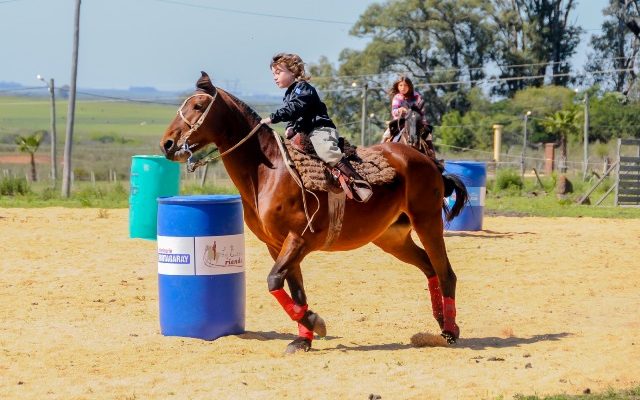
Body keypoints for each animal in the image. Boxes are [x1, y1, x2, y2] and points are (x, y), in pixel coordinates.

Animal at [159, 72, 470, 354]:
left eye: (198, 106)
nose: (167, 144)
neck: (269, 172)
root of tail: (428, 162)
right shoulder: (277, 245)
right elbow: (294, 289)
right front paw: (303, 339)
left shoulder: (298, 240)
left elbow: (274, 281)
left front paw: (315, 322)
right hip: (392, 238)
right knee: (429, 267)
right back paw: (441, 324)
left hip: (427, 222)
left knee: (446, 272)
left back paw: (451, 331)